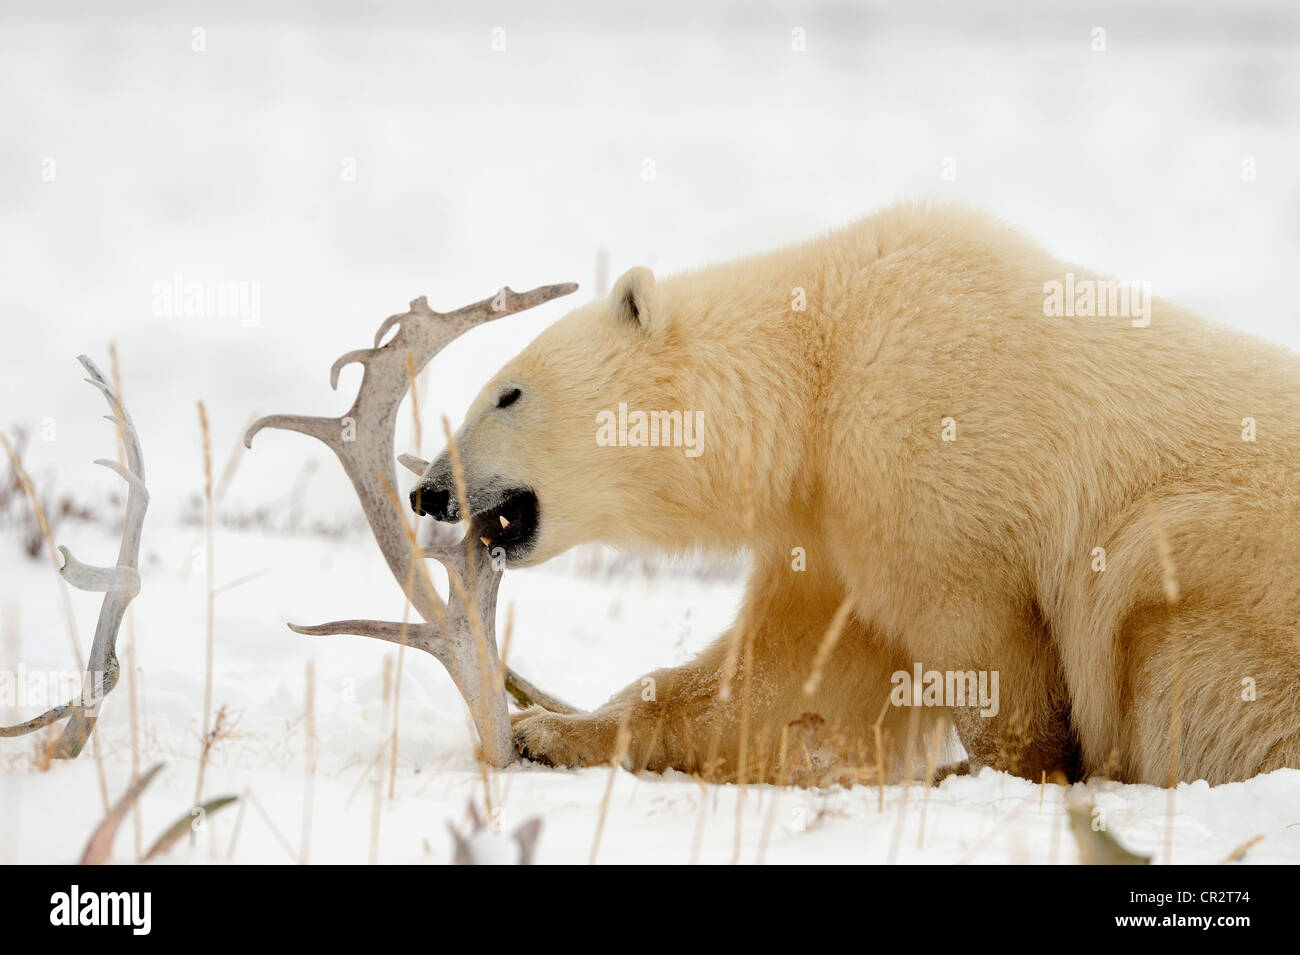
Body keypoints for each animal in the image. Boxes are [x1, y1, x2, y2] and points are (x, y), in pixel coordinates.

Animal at [410, 200, 1300, 784]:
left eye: (508, 392)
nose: (427, 489)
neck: (823, 359)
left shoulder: (924, 452)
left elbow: (987, 658)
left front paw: (1009, 770)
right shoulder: (830, 521)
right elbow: (782, 681)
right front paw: (547, 729)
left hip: (1223, 577)